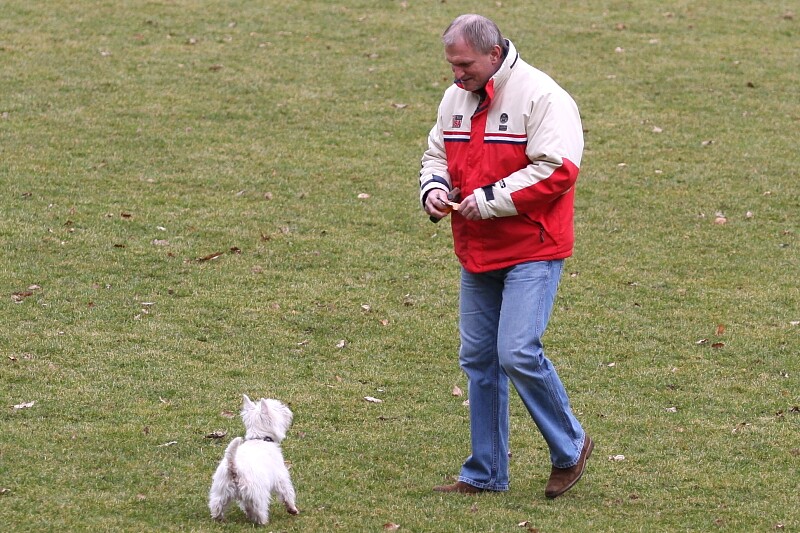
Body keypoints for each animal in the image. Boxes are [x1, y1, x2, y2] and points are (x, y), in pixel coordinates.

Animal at [208, 394, 299, 525]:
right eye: (277, 407)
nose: (287, 409)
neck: (260, 438)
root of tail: (233, 466)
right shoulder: (281, 476)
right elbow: (287, 493)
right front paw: (292, 509)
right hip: (257, 493)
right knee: (259, 508)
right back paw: (263, 522)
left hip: (221, 490)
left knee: (216, 505)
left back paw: (219, 519)